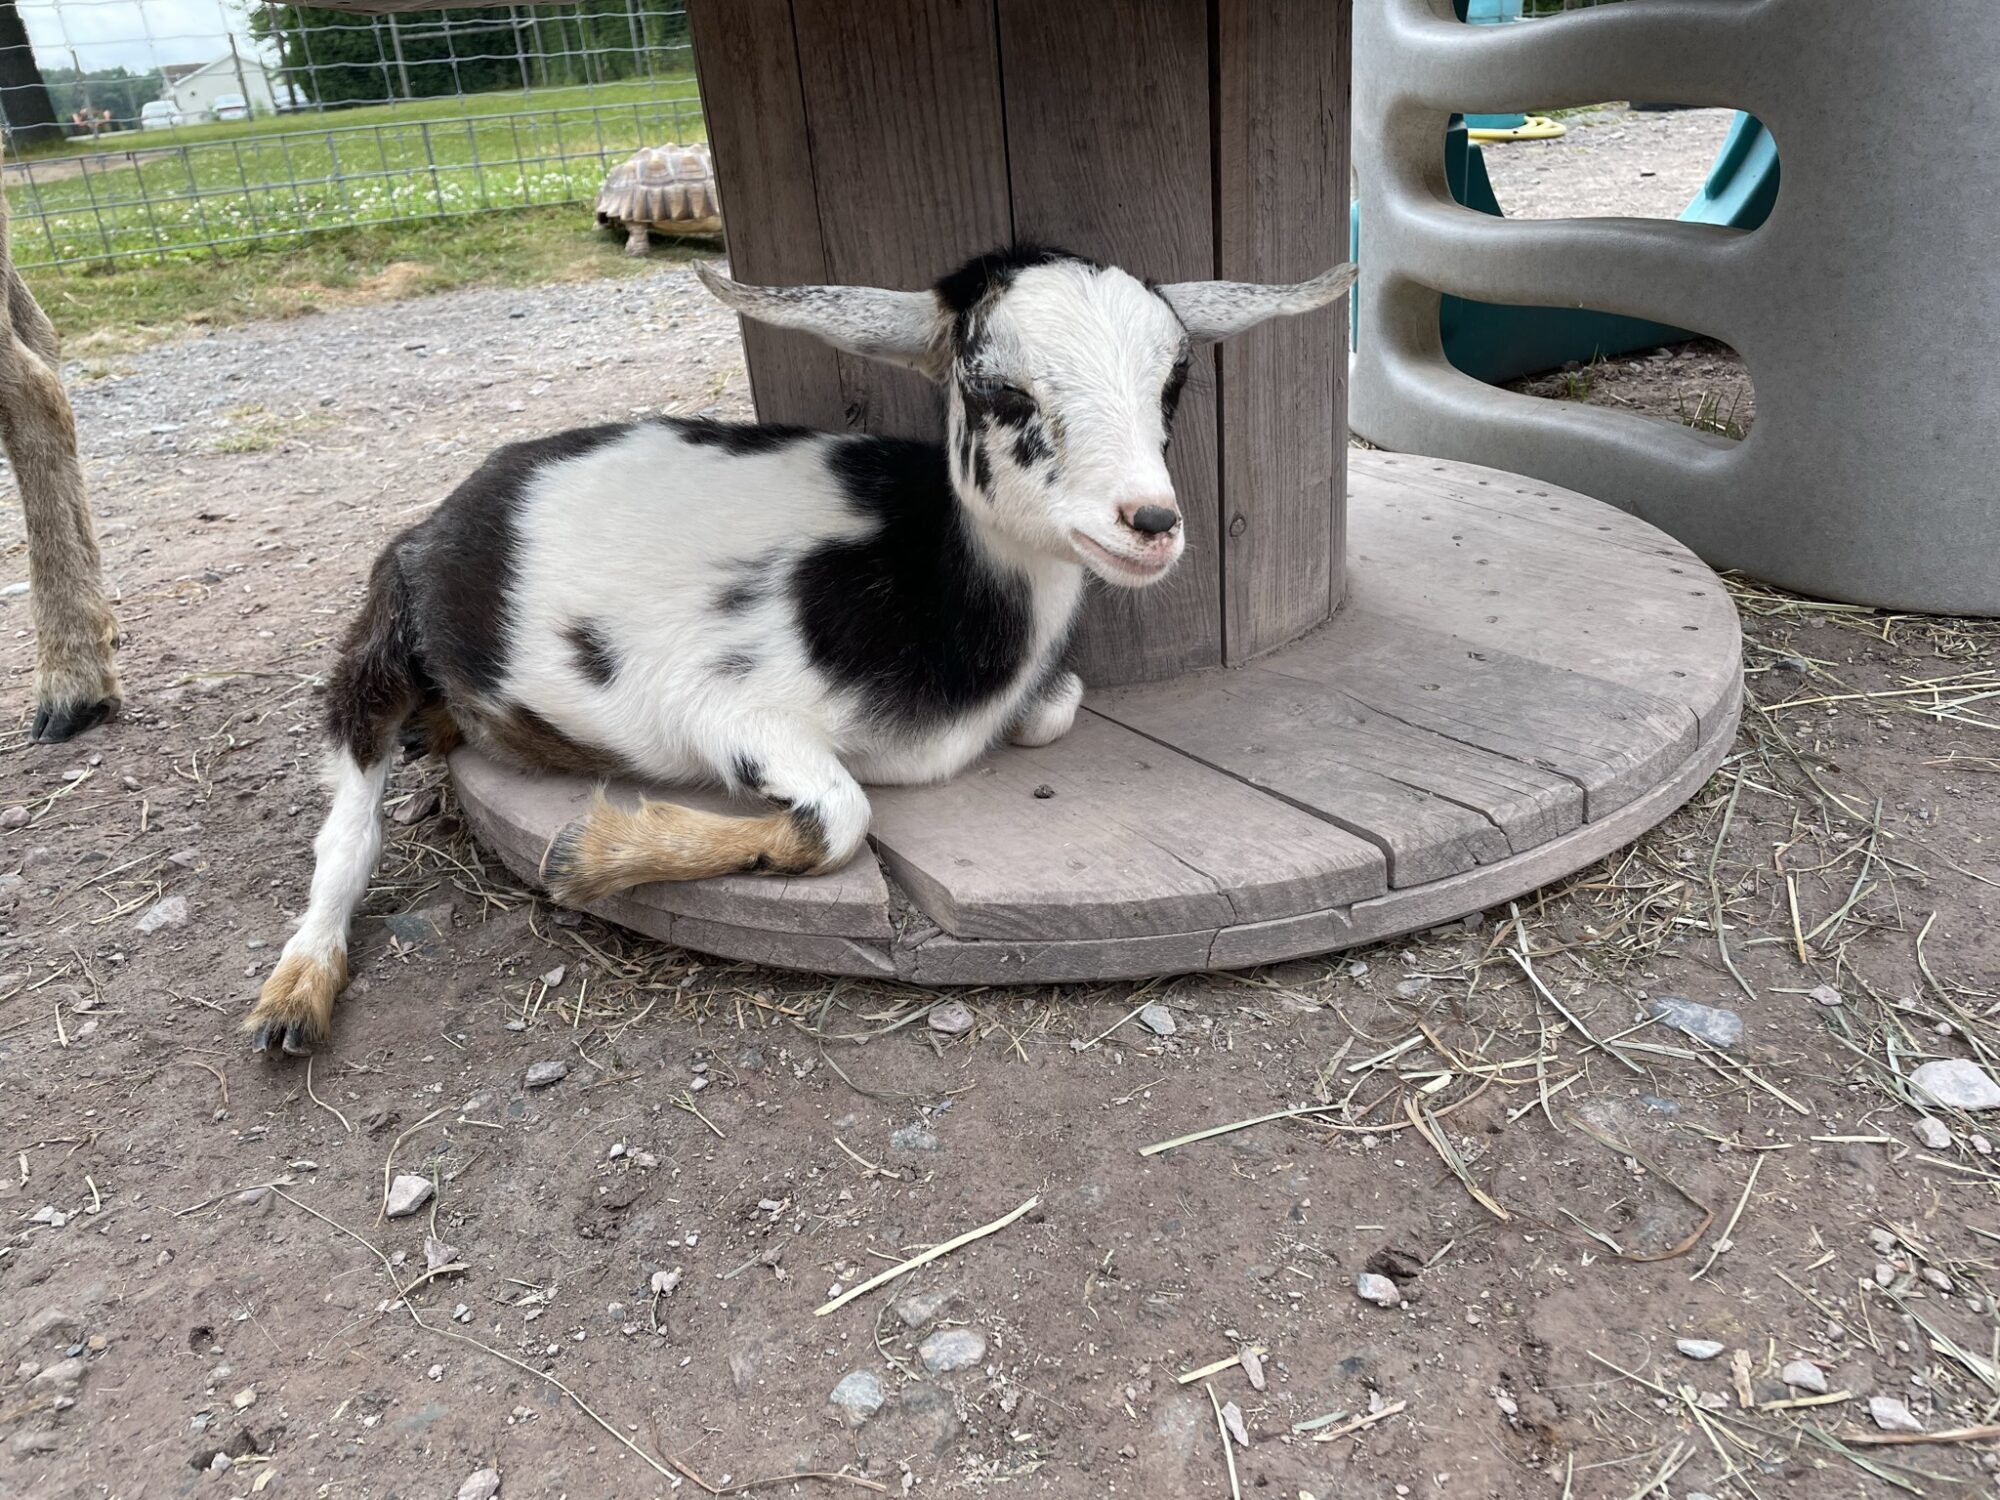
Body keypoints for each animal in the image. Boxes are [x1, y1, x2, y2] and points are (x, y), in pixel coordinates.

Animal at [242, 247, 1352, 1048]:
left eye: (1172, 385)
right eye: (996, 387)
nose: (1149, 523)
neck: (926, 582)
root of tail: (453, 507)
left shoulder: (1031, 695)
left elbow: (1054, 706)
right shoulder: (719, 703)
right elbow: (843, 815)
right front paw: (587, 856)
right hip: (377, 644)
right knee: (349, 817)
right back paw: (294, 996)